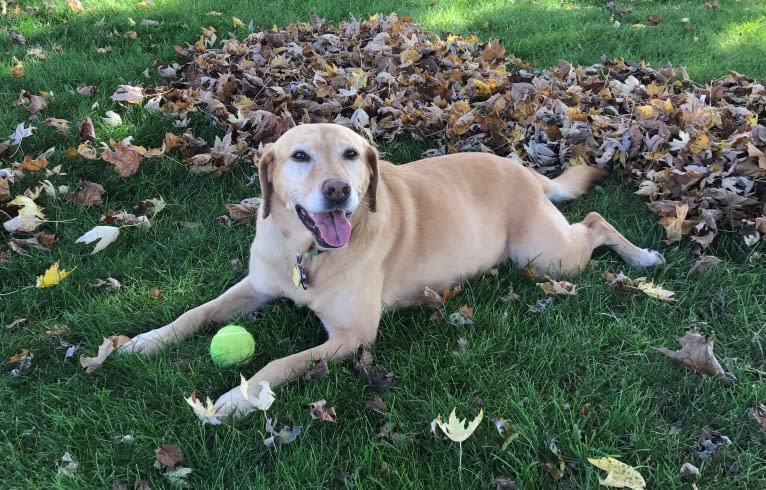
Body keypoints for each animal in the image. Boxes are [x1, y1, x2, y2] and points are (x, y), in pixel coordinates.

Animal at [121, 122, 664, 418]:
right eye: (299, 156)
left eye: (351, 154)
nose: (339, 190)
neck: (307, 252)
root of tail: (521, 168)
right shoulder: (257, 285)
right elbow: (195, 313)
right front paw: (143, 341)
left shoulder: (354, 337)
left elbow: (280, 363)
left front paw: (239, 398)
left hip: (548, 257)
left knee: (594, 221)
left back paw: (642, 257)